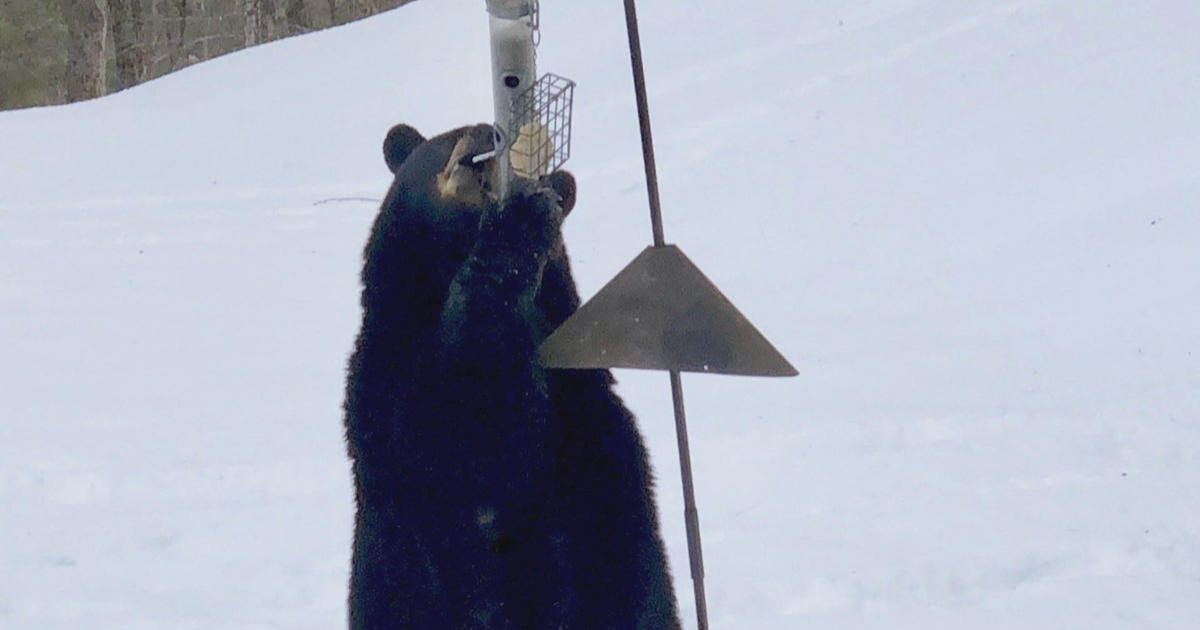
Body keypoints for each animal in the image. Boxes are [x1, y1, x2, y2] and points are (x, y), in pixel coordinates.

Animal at [348, 123, 681, 628]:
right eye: (447, 138)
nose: (488, 132)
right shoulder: (386, 378)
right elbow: (457, 423)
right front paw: (521, 219)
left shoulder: (579, 404)